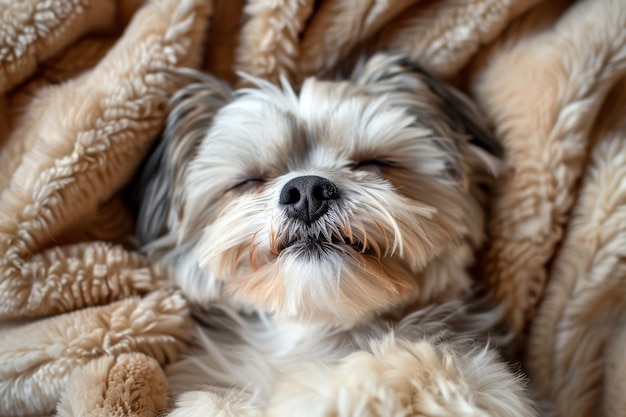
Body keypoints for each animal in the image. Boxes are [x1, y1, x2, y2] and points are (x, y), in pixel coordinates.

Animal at [134, 53, 532, 414]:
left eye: (375, 162)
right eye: (248, 180)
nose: (306, 191)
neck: (318, 332)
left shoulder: (486, 382)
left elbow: (412, 367)